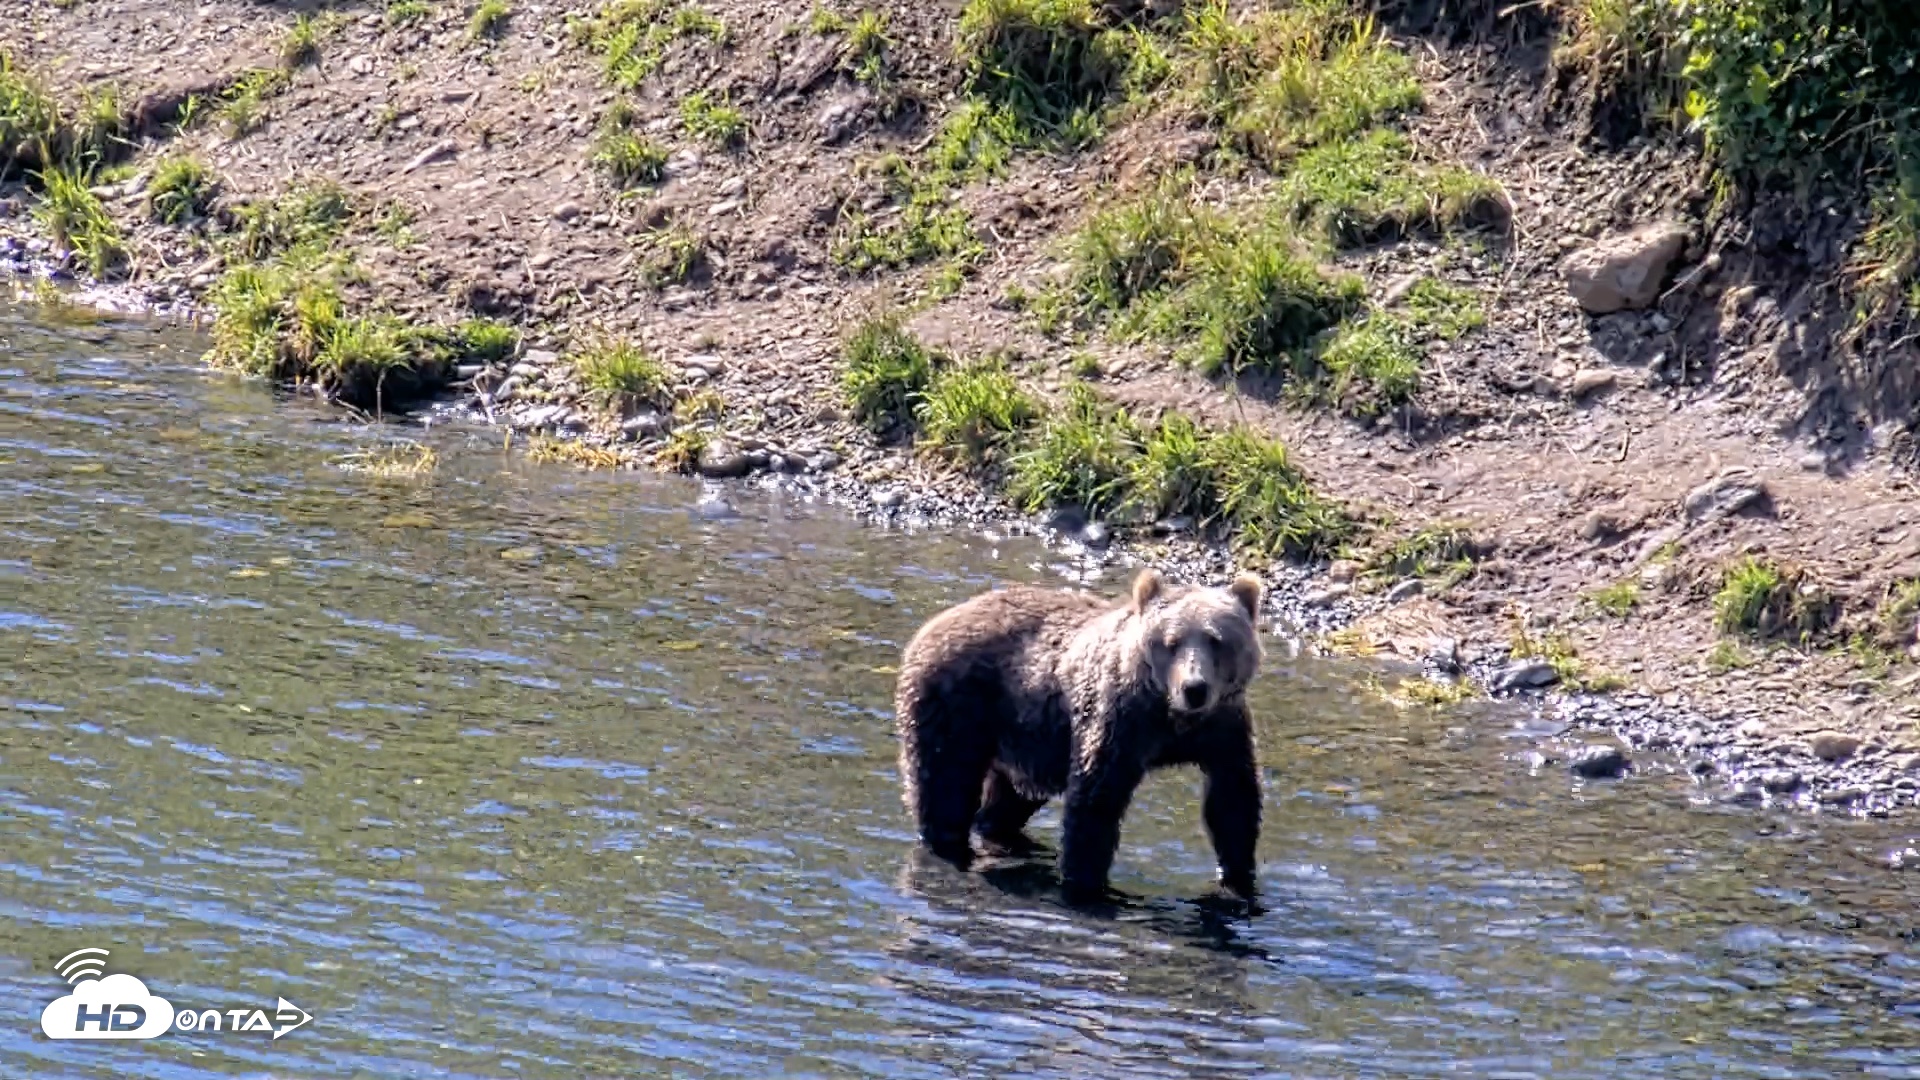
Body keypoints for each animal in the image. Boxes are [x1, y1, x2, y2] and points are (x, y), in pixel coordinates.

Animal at [892, 567, 1266, 903]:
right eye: (1171, 642)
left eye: (1217, 640)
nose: (1194, 688)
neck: (1171, 718)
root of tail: (932, 623)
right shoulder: (1119, 722)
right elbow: (1096, 800)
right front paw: (1086, 885)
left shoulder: (1223, 729)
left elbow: (1232, 799)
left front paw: (1238, 879)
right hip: (957, 705)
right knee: (945, 787)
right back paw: (946, 845)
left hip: (1028, 739)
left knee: (1007, 800)